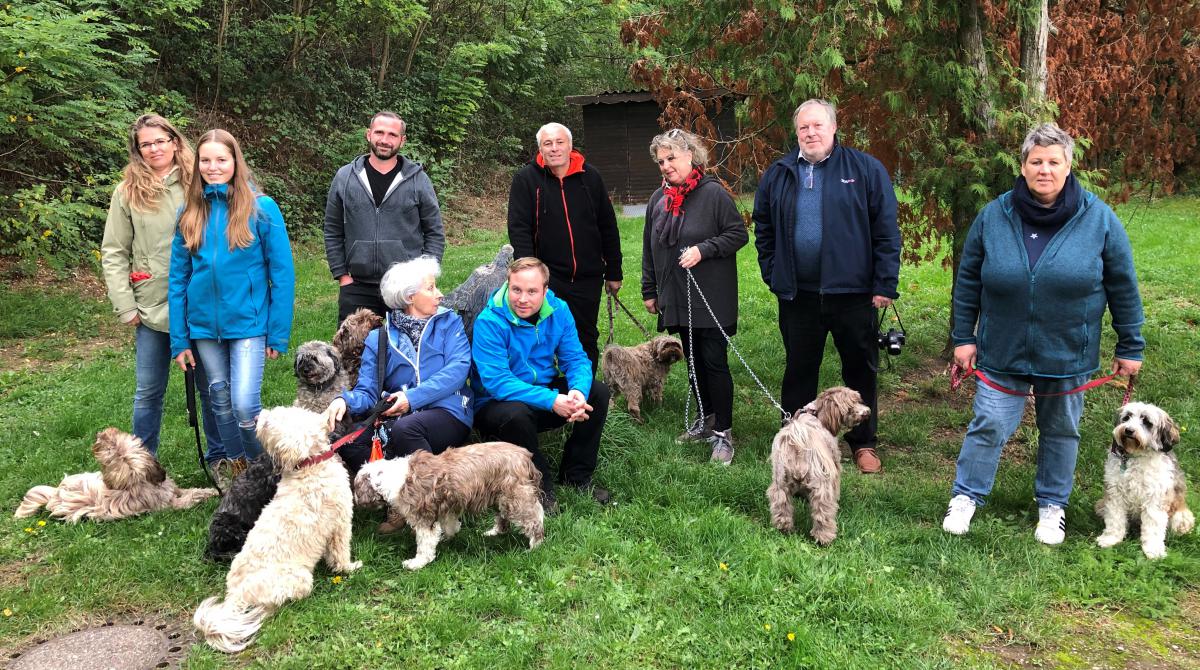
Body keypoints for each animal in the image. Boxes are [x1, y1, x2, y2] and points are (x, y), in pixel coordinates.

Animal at [14, 428, 217, 522]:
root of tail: (55, 494)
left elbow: (187, 490)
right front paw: (210, 493)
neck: (138, 482)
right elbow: (189, 497)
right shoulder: (167, 504)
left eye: (116, 444)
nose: (102, 433)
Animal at [193, 406, 359, 653]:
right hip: (300, 579)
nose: (257, 417)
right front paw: (350, 568)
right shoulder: (341, 524)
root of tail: (236, 594)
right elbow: (340, 555)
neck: (310, 465)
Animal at [352, 442, 544, 570]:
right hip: (500, 497)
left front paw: (417, 563)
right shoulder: (447, 508)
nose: (354, 499)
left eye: (355, 487)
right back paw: (495, 532)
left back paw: (535, 546)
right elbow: (450, 526)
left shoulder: (423, 517)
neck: (390, 477)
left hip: (515, 498)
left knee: (535, 519)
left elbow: (425, 544)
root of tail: (525, 456)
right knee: (504, 518)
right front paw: (446, 537)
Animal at [765, 387, 871, 546]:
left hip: (780, 484)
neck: (816, 414)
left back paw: (784, 529)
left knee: (781, 507)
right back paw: (824, 538)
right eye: (852, 404)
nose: (867, 412)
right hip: (822, 486)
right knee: (822, 515)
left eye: (859, 400)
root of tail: (796, 445)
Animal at [1095, 402, 1194, 559]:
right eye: (1127, 417)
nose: (1128, 430)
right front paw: (1111, 538)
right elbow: (1115, 518)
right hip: (1101, 505)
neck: (1136, 456)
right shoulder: (1115, 493)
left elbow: (1153, 526)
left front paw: (1153, 550)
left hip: (1182, 517)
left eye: (1147, 422)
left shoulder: (1156, 499)